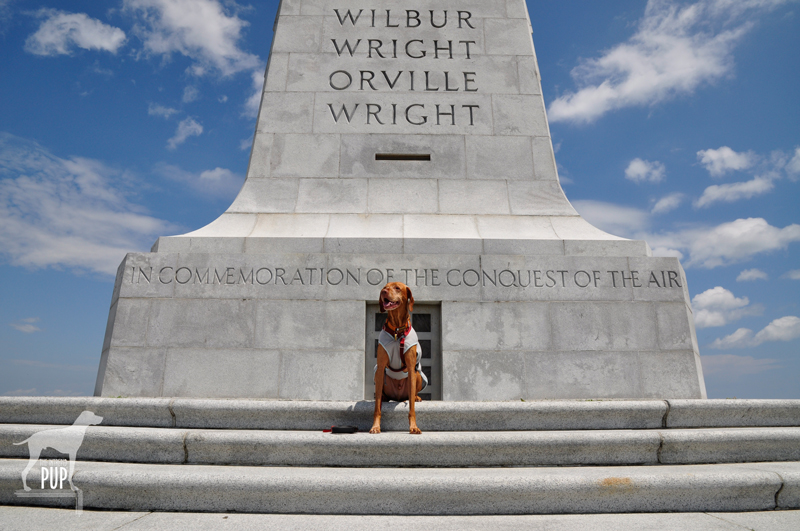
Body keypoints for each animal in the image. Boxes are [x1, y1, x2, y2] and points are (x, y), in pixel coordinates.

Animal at [372, 280, 428, 434]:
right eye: (384, 287)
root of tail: (398, 398)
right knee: (382, 395)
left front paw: (413, 427)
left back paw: (416, 397)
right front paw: (375, 426)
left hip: (417, 375)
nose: (383, 292)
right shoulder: (380, 368)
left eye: (397, 288)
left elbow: (411, 408)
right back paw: (384, 397)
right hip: (378, 376)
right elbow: (377, 407)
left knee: (412, 393)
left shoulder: (410, 366)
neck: (397, 331)